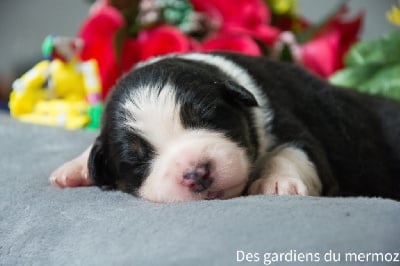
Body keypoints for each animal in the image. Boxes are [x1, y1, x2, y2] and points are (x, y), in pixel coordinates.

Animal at [50, 51, 400, 202]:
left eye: (208, 116)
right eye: (136, 158)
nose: (196, 173)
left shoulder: (290, 121)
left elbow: (293, 152)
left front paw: (276, 183)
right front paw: (74, 168)